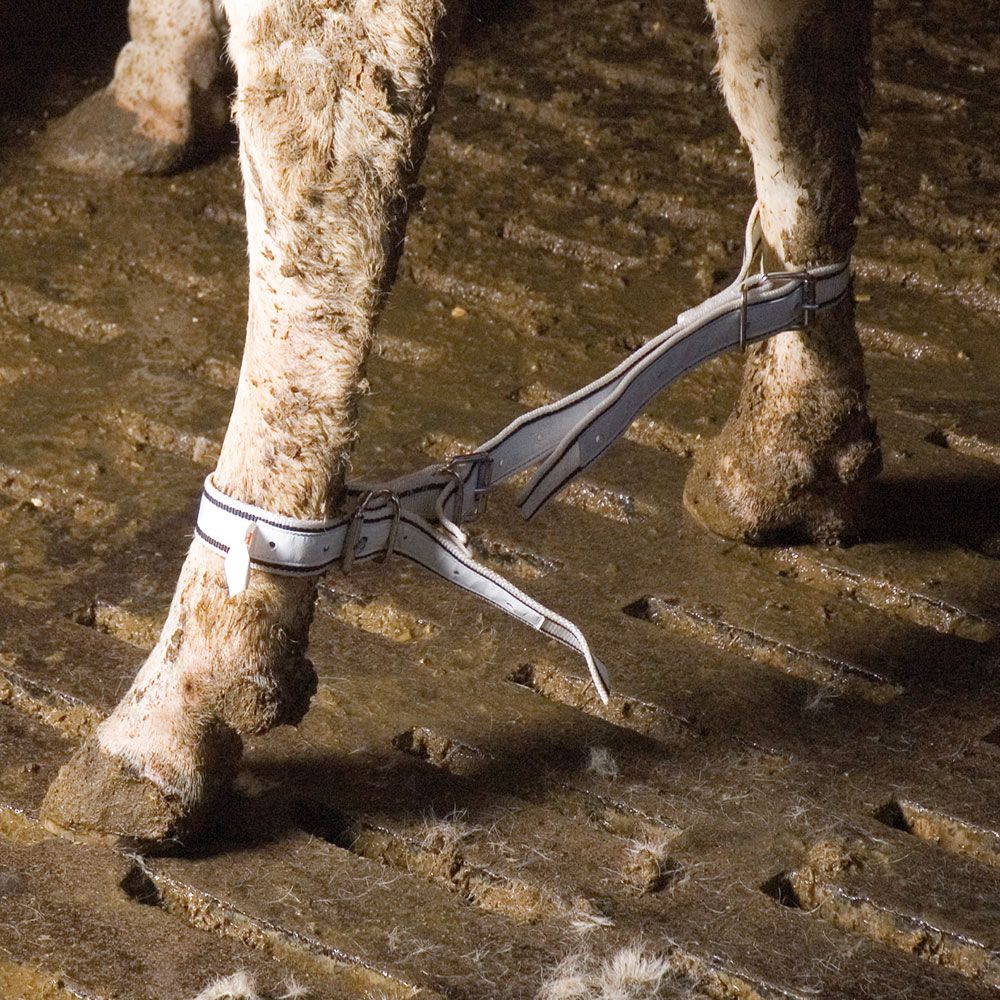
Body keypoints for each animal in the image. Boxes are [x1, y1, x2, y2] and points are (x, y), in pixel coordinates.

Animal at [37, 0, 881, 846]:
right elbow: (786, 64)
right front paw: (151, 93)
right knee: (793, 71)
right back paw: (790, 448)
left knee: (325, 158)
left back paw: (172, 708)